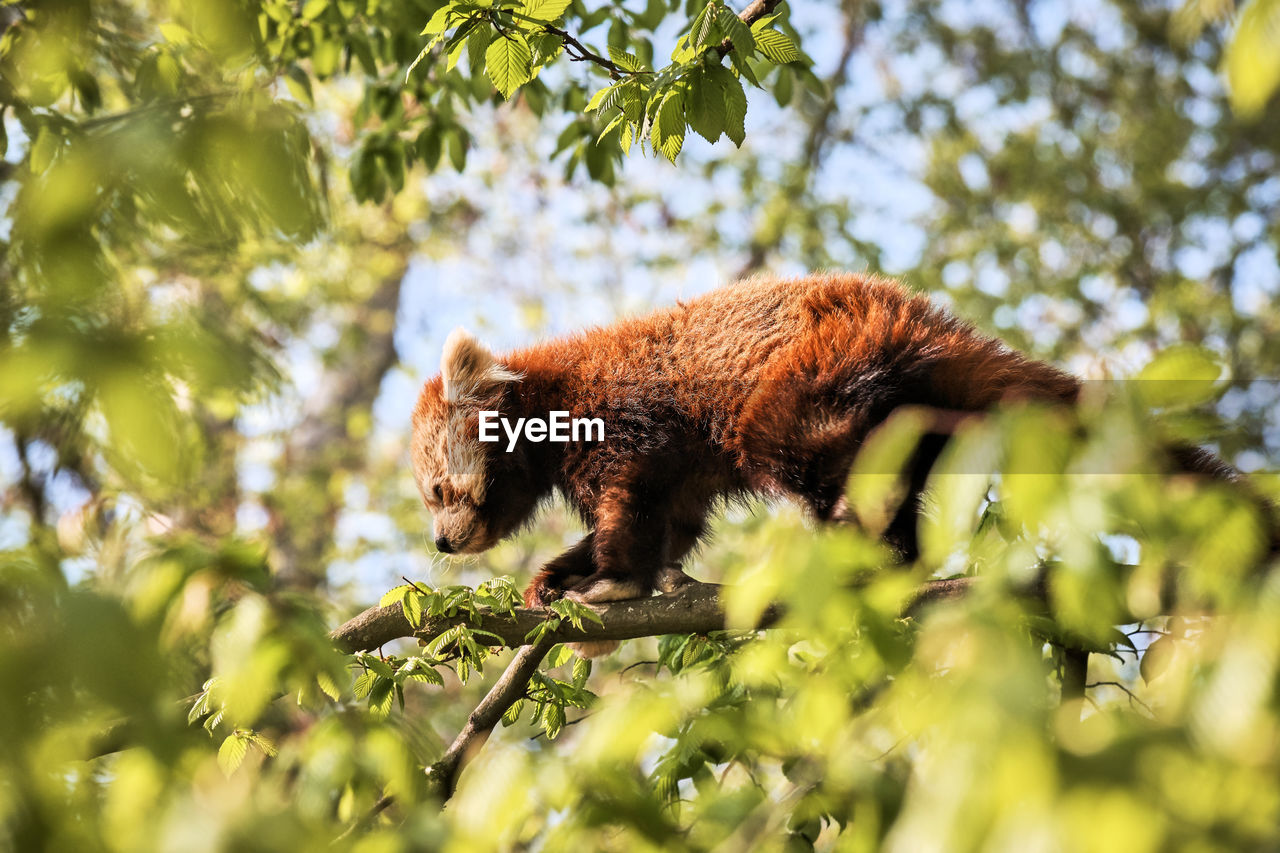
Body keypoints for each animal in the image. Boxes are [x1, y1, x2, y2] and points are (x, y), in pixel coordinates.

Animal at [412, 272, 1269, 645]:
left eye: (437, 491)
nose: (443, 543)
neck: (549, 394)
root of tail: (918, 315)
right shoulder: (679, 474)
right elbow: (673, 520)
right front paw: (557, 575)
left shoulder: (625, 425)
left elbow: (632, 510)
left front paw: (612, 579)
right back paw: (892, 557)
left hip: (809, 378)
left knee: (801, 450)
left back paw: (858, 540)